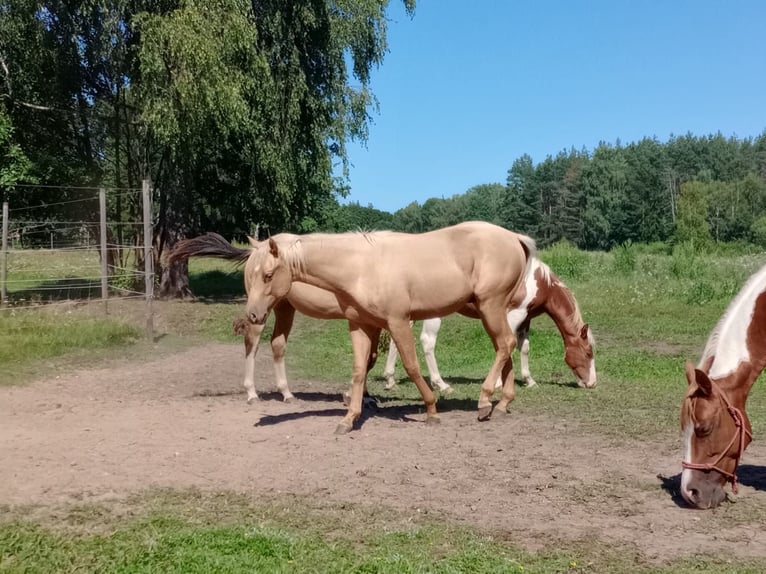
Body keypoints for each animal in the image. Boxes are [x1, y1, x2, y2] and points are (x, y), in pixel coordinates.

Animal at [382, 257, 596, 392]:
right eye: (588, 353)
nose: (592, 383)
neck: (539, 282)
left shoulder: (526, 318)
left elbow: (524, 348)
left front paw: (529, 380)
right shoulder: (514, 315)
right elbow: (504, 347)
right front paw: (499, 383)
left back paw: (390, 380)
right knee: (427, 341)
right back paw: (441, 384)